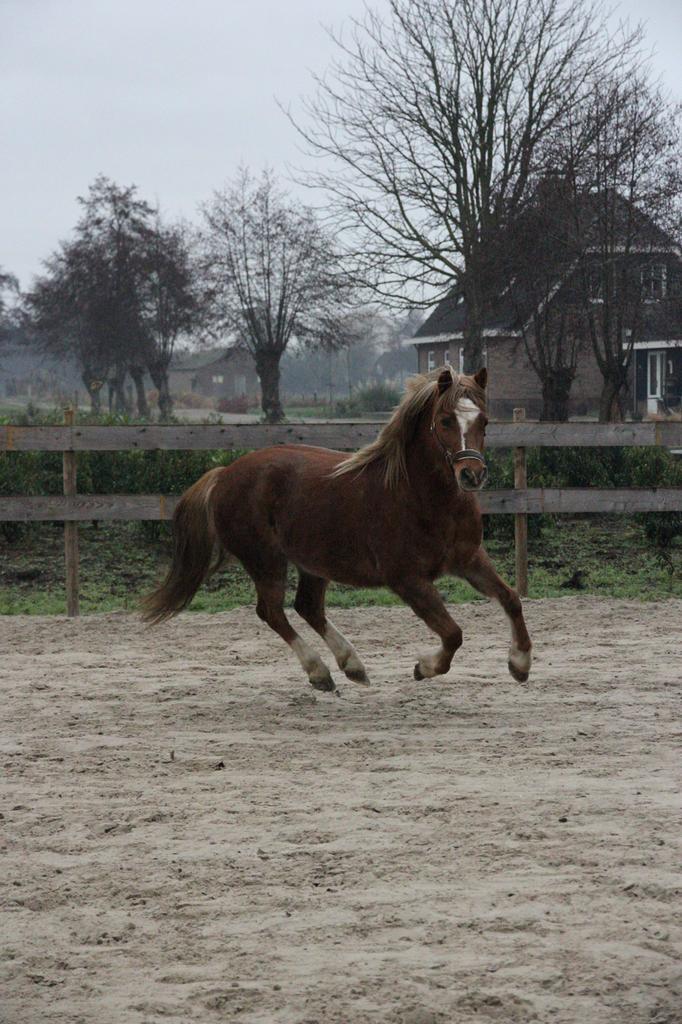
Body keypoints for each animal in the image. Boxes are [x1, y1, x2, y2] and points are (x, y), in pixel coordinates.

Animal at [142, 366, 532, 691]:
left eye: (484, 421)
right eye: (446, 420)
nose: (472, 475)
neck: (423, 498)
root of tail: (224, 474)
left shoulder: (469, 560)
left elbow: (511, 599)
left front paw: (520, 663)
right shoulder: (407, 579)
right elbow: (453, 633)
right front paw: (424, 667)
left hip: (313, 563)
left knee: (307, 607)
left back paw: (352, 666)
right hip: (265, 561)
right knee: (272, 612)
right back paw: (320, 673)